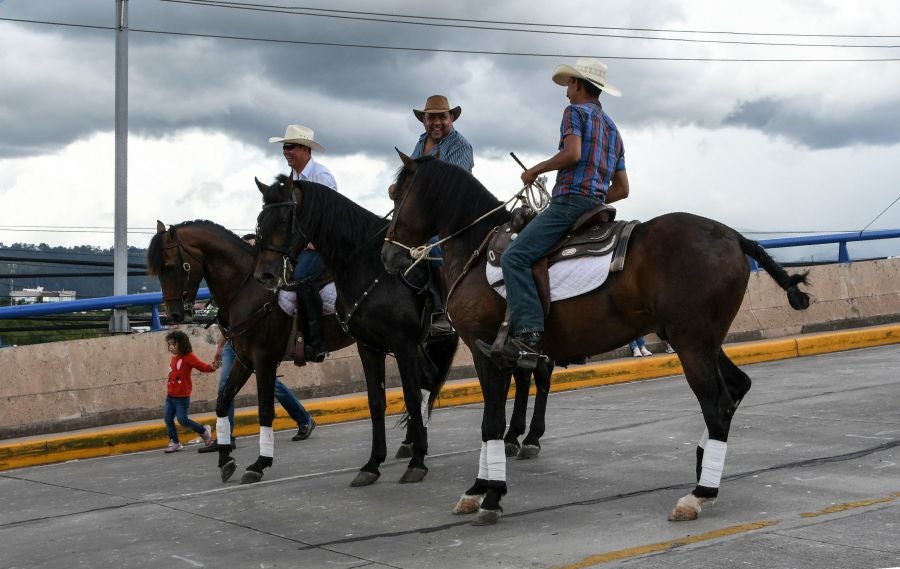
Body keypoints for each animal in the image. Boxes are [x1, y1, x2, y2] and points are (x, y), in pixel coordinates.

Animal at [146, 220, 360, 482]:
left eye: (170, 267)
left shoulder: (264, 358)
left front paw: (260, 464)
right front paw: (225, 459)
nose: (174, 315)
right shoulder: (245, 360)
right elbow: (223, 402)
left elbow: (265, 411)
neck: (248, 290)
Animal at [380, 154, 808, 524]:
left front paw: (488, 493)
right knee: (736, 388)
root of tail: (735, 236)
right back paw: (706, 469)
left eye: (395, 193)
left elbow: (491, 424)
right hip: (703, 341)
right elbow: (493, 422)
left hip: (691, 344)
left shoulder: (486, 352)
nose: (387, 256)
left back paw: (699, 493)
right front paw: (480, 489)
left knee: (717, 405)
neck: (477, 250)